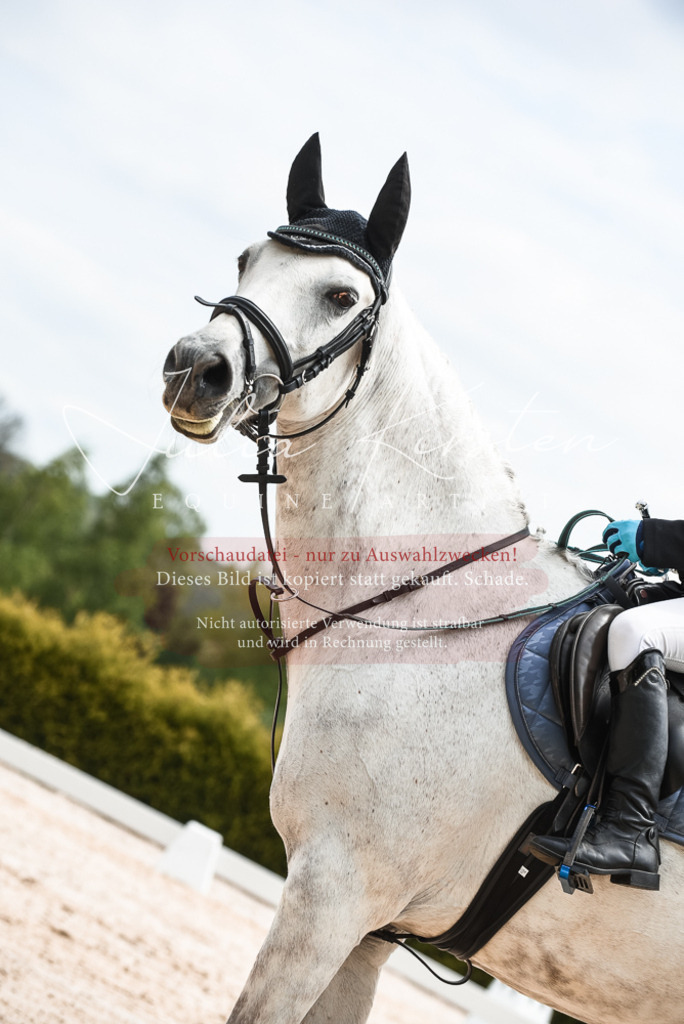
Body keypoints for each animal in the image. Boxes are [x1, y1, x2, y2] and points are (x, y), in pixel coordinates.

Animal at [161, 135, 683, 1024]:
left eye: (340, 295)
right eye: (246, 259)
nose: (196, 370)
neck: (417, 611)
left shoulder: (332, 896)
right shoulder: (368, 929)